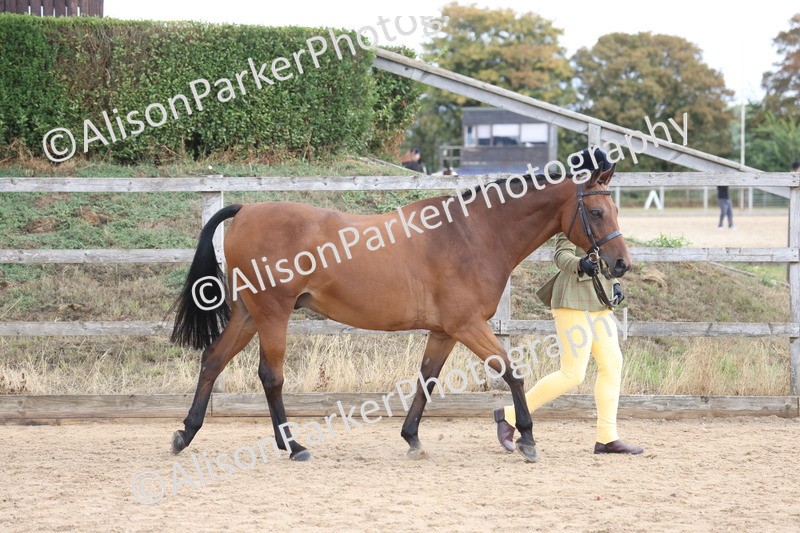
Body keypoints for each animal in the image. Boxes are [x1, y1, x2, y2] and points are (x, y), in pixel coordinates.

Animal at [169, 161, 630, 462]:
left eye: (614, 210)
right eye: (596, 211)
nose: (621, 264)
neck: (472, 235)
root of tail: (246, 210)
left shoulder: (445, 331)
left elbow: (427, 380)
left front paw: (411, 438)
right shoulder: (467, 325)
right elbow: (511, 371)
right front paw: (527, 438)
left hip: (248, 314)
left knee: (213, 361)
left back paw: (186, 434)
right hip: (272, 314)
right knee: (270, 376)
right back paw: (294, 446)